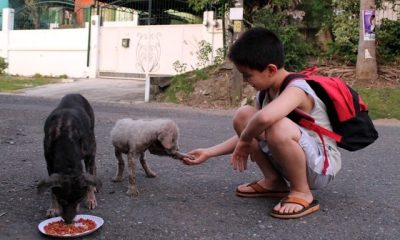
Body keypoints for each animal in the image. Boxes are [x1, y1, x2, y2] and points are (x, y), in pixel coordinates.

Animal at [37, 93, 101, 223]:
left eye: (79, 200)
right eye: (61, 200)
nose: (68, 221)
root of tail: (75, 93)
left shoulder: (88, 154)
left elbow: (88, 180)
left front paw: (90, 199)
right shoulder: (49, 163)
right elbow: (53, 189)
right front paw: (53, 208)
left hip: (92, 141)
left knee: (93, 167)